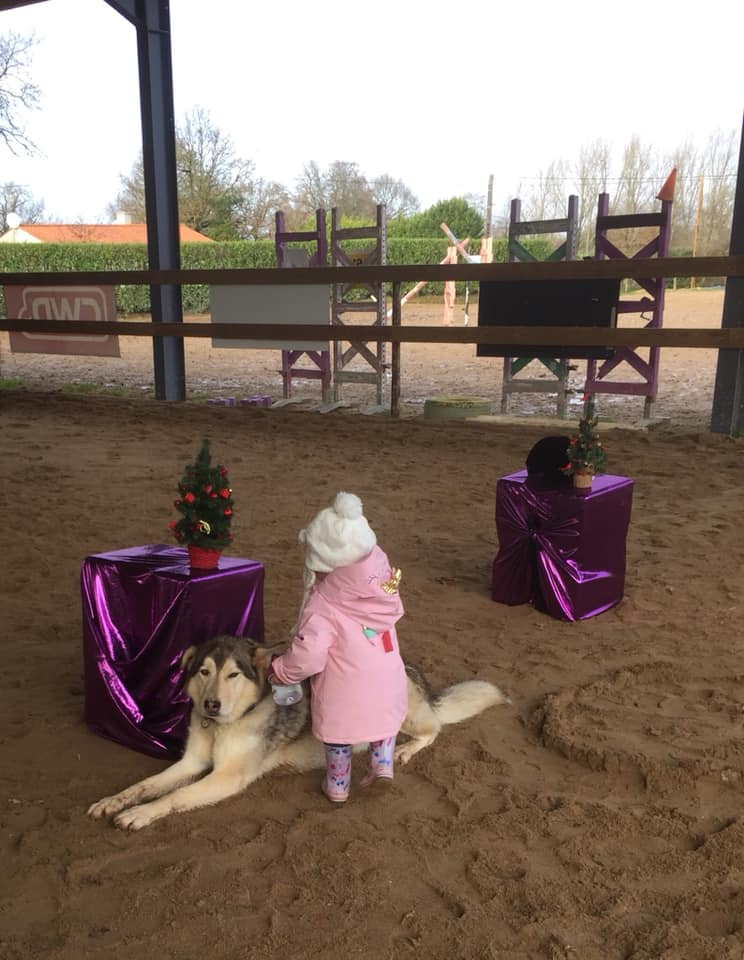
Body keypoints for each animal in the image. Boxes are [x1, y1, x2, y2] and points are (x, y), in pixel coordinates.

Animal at [88, 634, 509, 830]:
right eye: (203, 671)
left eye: (233, 675)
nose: (211, 706)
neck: (225, 725)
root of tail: (411, 667)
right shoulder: (190, 762)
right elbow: (143, 786)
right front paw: (113, 802)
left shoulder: (226, 777)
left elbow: (173, 797)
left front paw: (140, 814)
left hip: (404, 714)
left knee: (433, 728)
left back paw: (402, 751)